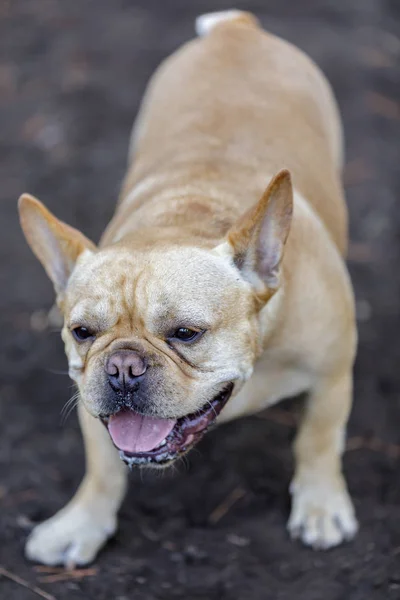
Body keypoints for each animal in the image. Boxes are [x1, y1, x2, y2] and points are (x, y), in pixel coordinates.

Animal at [18, 8, 358, 568]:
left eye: (186, 333)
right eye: (83, 332)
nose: (123, 367)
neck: (183, 219)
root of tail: (236, 28)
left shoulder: (332, 375)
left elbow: (318, 439)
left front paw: (321, 506)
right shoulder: (93, 406)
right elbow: (102, 470)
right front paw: (81, 524)